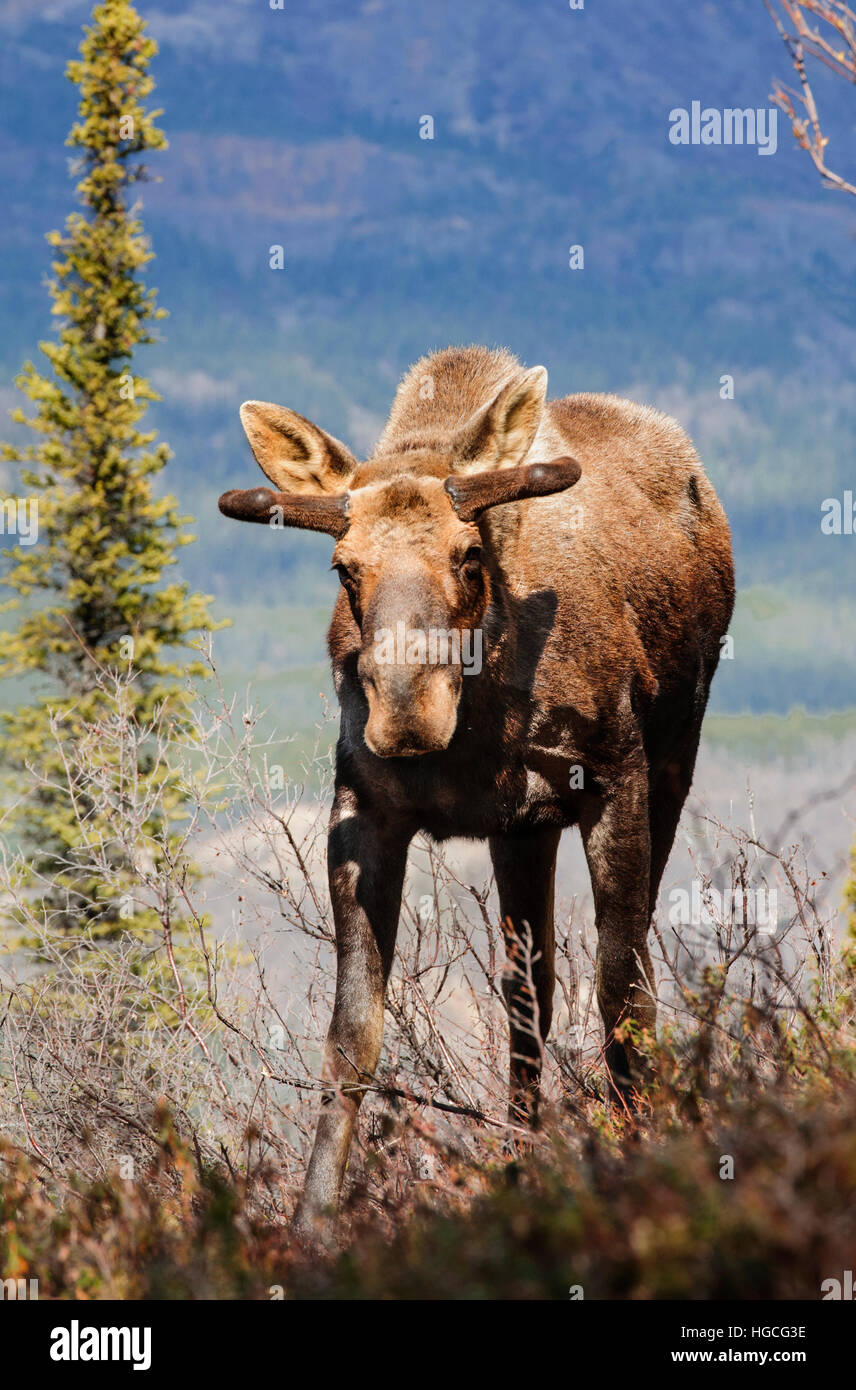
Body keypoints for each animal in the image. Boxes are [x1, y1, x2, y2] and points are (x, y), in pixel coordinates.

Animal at [216, 344, 733, 1228]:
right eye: (344, 569)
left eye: (468, 557)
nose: (405, 718)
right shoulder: (366, 812)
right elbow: (353, 1031)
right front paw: (312, 1223)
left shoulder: (615, 779)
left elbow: (623, 992)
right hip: (523, 833)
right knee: (528, 999)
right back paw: (518, 1166)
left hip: (672, 761)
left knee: (600, 978)